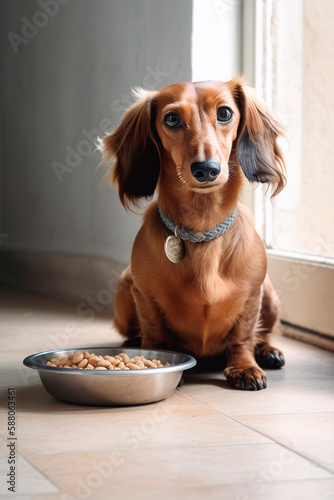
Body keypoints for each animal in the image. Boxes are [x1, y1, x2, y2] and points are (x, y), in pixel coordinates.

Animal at [103, 78, 286, 390]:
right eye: (172, 119)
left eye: (224, 113)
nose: (206, 169)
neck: (203, 228)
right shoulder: (144, 295)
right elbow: (156, 332)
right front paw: (159, 361)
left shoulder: (253, 295)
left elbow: (243, 336)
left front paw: (244, 367)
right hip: (125, 284)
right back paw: (133, 342)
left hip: (271, 295)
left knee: (263, 334)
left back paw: (268, 351)